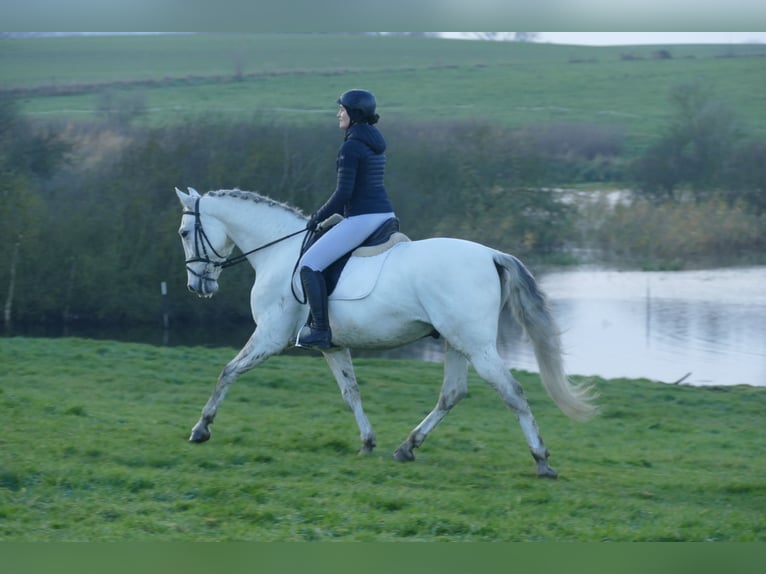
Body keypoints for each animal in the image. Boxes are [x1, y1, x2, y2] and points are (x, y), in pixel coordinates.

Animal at [177, 187, 596, 480]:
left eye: (183, 232)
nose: (198, 286)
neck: (280, 251)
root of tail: (491, 254)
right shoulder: (332, 346)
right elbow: (351, 393)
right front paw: (367, 442)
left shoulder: (270, 337)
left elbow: (228, 372)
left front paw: (201, 428)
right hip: (457, 343)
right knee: (452, 394)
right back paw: (407, 447)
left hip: (476, 346)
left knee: (513, 393)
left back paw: (542, 461)